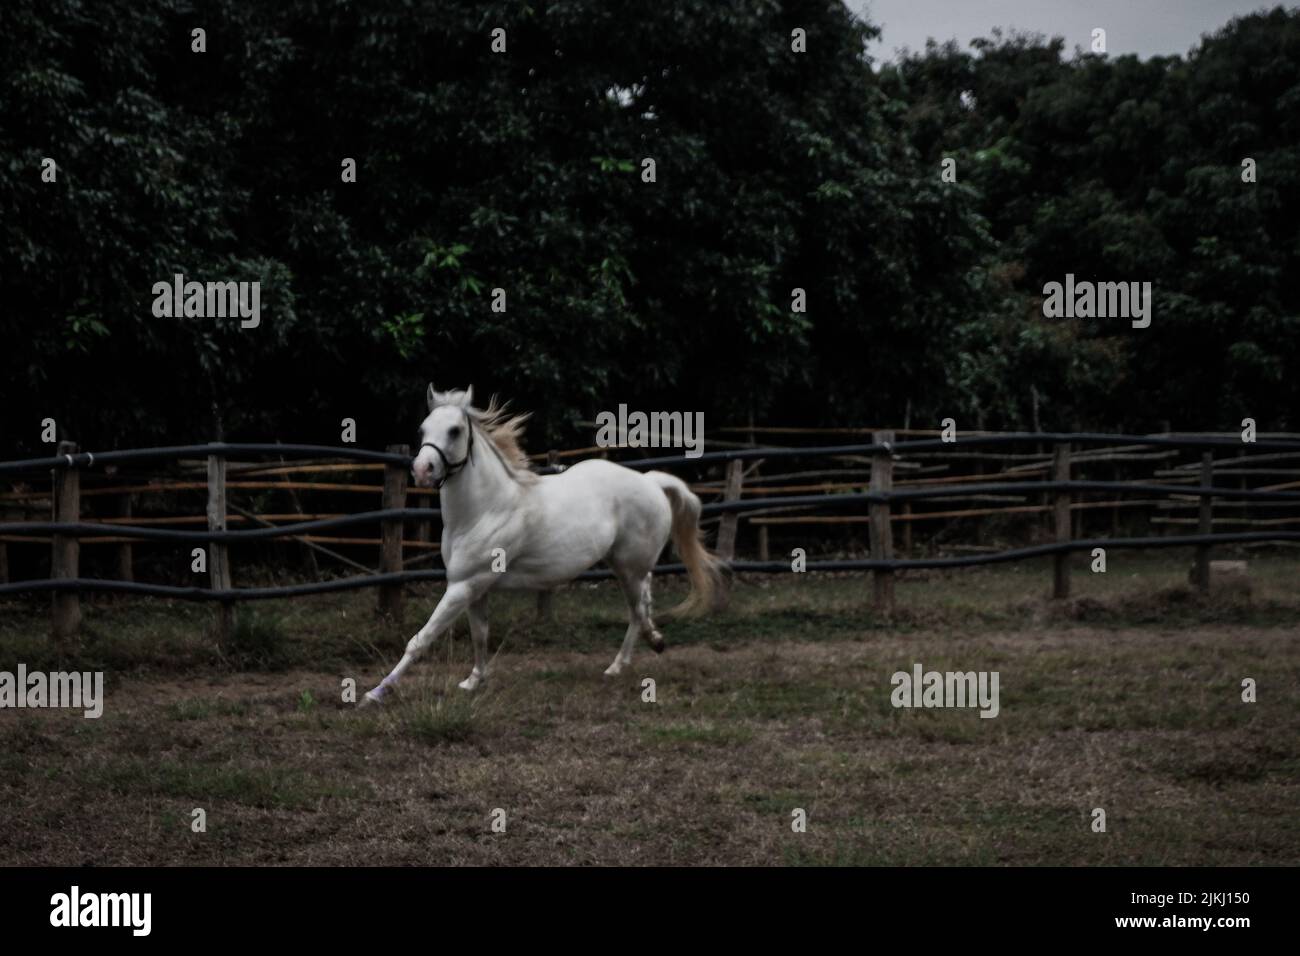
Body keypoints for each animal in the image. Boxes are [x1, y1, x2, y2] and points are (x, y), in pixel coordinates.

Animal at [362, 384, 725, 704]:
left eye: (454, 430)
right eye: (423, 429)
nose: (422, 469)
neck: (485, 510)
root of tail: (650, 481)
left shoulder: (464, 586)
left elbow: (420, 640)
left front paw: (374, 694)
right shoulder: (474, 588)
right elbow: (480, 635)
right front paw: (473, 681)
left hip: (629, 568)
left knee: (637, 609)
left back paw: (623, 662)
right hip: (624, 565)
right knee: (644, 601)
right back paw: (646, 647)